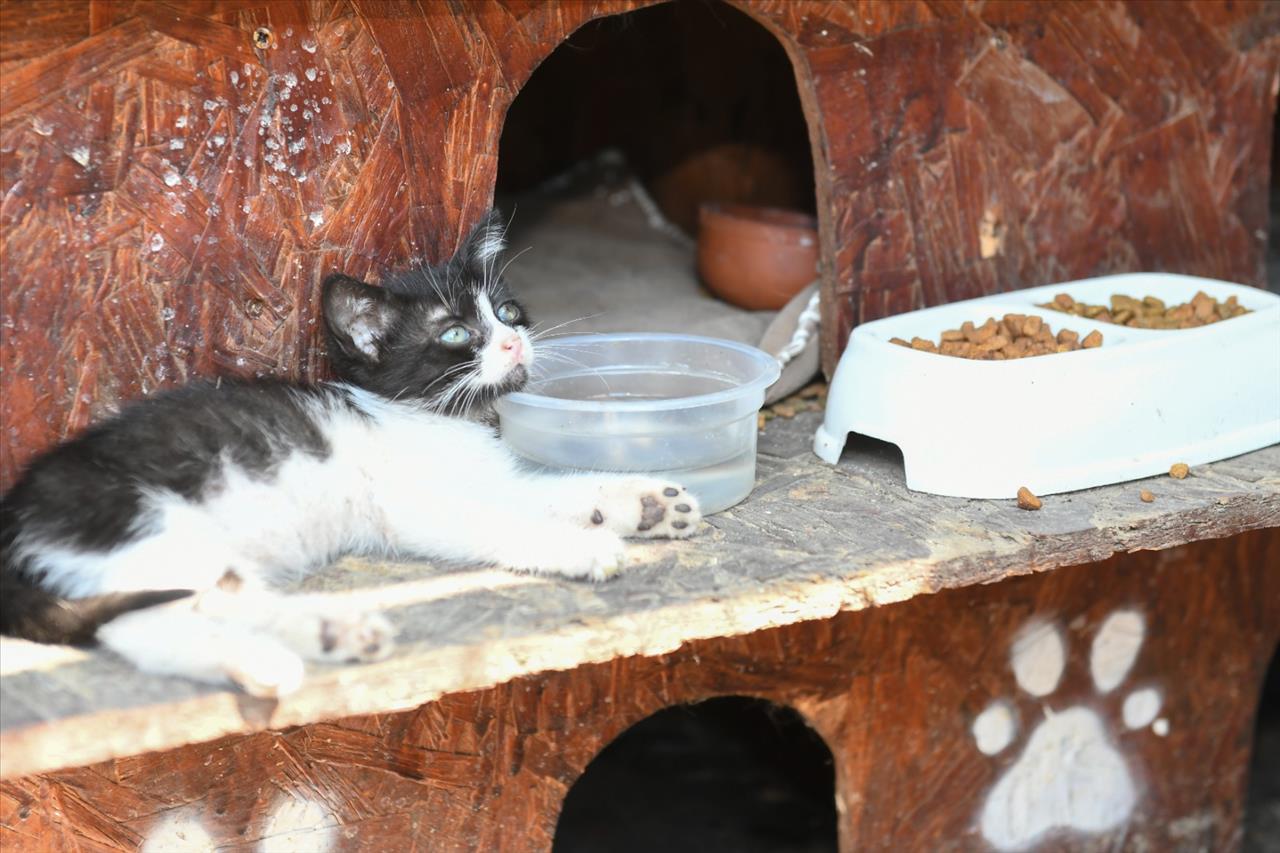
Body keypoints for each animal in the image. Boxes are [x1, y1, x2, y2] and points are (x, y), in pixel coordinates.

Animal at [0, 211, 701, 691]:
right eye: (455, 333)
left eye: (506, 311)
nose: (513, 343)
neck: (438, 417)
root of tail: (15, 520)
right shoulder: (415, 505)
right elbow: (501, 521)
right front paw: (582, 546)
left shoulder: (491, 477)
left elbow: (548, 490)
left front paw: (642, 504)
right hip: (145, 523)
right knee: (151, 620)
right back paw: (286, 651)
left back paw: (325, 635)